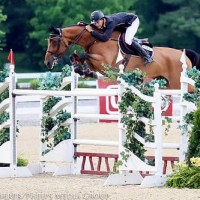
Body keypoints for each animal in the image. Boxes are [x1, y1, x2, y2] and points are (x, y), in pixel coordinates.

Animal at [43, 24, 200, 90]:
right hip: (168, 84)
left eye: (54, 41)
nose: (47, 62)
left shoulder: (106, 63)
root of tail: (184, 55)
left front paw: (84, 68)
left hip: (178, 83)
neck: (95, 39)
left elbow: (85, 55)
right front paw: (84, 70)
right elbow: (83, 59)